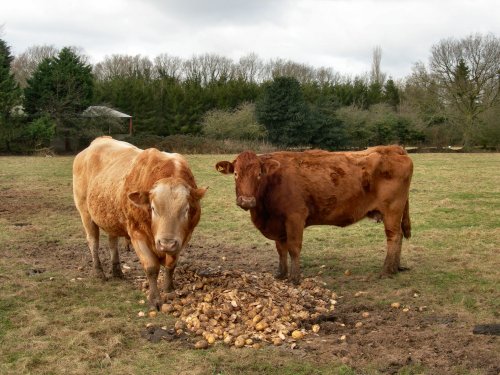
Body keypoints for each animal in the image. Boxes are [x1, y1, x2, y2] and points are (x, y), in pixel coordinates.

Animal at [73, 137, 205, 308]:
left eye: (186, 209)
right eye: (153, 208)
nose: (166, 243)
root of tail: (99, 141)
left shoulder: (184, 237)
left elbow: (171, 264)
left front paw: (169, 289)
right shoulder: (137, 233)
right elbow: (151, 268)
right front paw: (155, 299)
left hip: (111, 217)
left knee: (112, 242)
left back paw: (117, 271)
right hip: (85, 213)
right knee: (93, 242)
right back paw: (99, 272)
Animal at [216, 145, 414, 284]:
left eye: (259, 174)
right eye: (235, 173)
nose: (246, 201)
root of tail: (393, 148)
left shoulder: (295, 217)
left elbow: (293, 248)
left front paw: (295, 278)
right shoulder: (278, 224)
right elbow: (281, 249)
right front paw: (281, 274)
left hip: (392, 210)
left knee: (393, 237)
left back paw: (386, 270)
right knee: (399, 236)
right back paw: (395, 268)